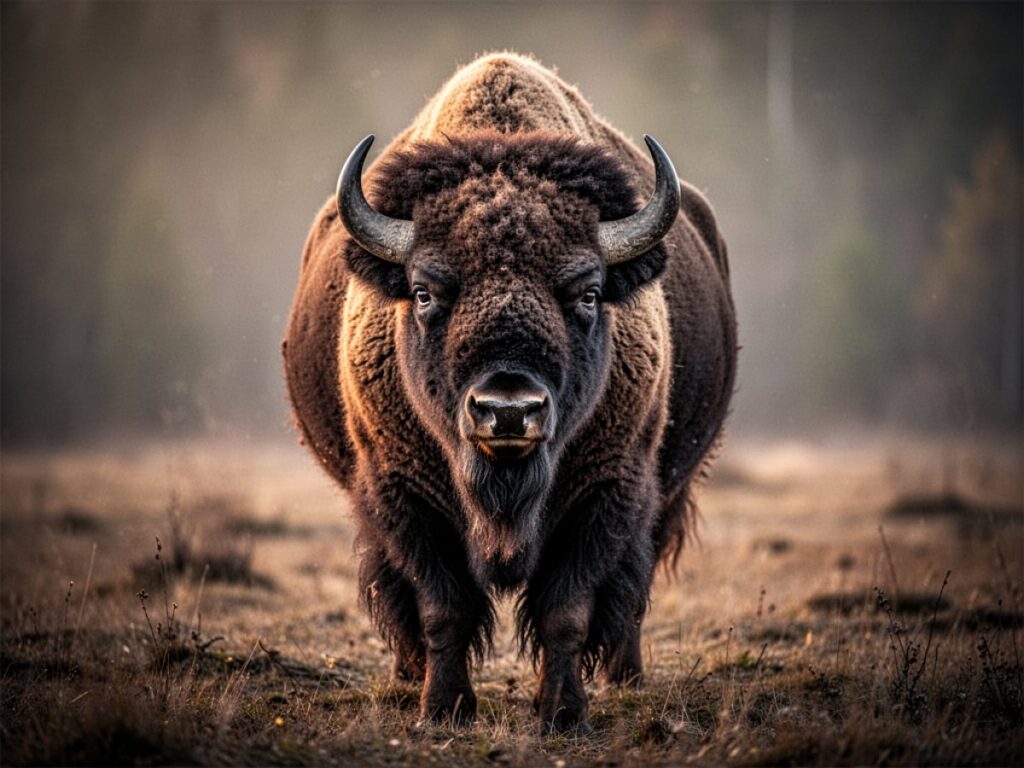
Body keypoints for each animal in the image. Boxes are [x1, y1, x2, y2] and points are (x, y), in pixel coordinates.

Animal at [283, 52, 736, 733]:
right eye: (424, 292)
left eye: (589, 293)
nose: (508, 410)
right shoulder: (403, 493)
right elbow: (441, 607)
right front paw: (444, 709)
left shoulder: (607, 491)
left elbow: (567, 610)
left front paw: (562, 714)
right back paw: (407, 677)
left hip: (668, 490)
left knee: (635, 589)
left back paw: (627, 677)